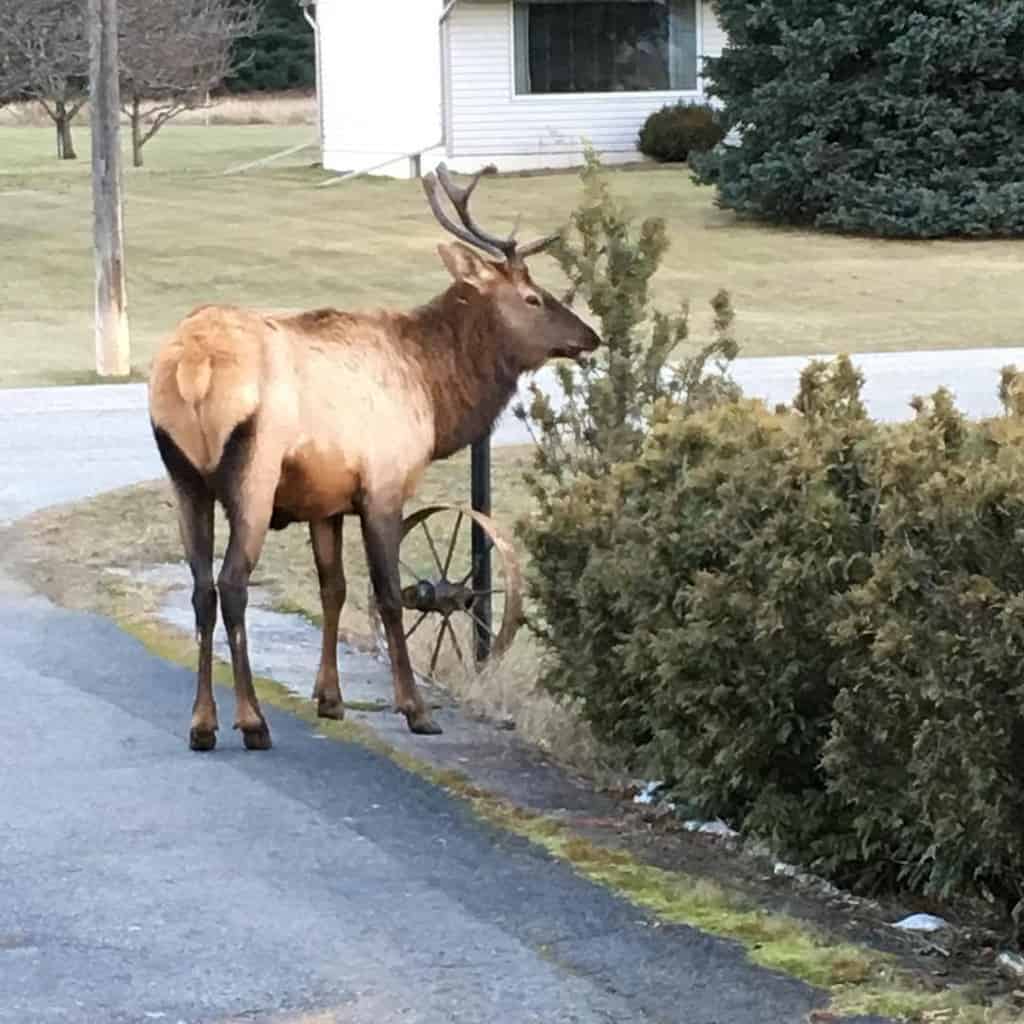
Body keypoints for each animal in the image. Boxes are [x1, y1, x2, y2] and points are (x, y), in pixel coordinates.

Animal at [148, 161, 602, 753]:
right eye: (532, 296)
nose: (589, 336)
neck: (434, 391)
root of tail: (193, 367)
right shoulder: (383, 485)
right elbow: (388, 594)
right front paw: (416, 708)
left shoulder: (325, 501)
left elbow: (334, 589)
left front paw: (330, 698)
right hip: (253, 472)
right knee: (232, 583)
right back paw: (252, 721)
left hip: (184, 477)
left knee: (202, 587)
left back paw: (202, 723)